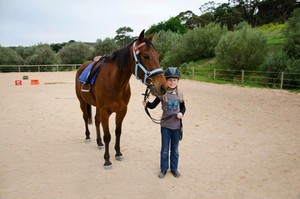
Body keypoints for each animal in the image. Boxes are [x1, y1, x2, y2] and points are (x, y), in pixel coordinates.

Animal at [75, 29, 168, 166]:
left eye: (157, 55)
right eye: (146, 56)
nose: (163, 86)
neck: (114, 83)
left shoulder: (122, 111)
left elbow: (118, 132)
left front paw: (118, 153)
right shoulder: (105, 112)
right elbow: (107, 135)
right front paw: (107, 159)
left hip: (97, 106)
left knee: (96, 121)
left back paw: (99, 142)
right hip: (82, 102)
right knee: (86, 117)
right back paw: (87, 137)